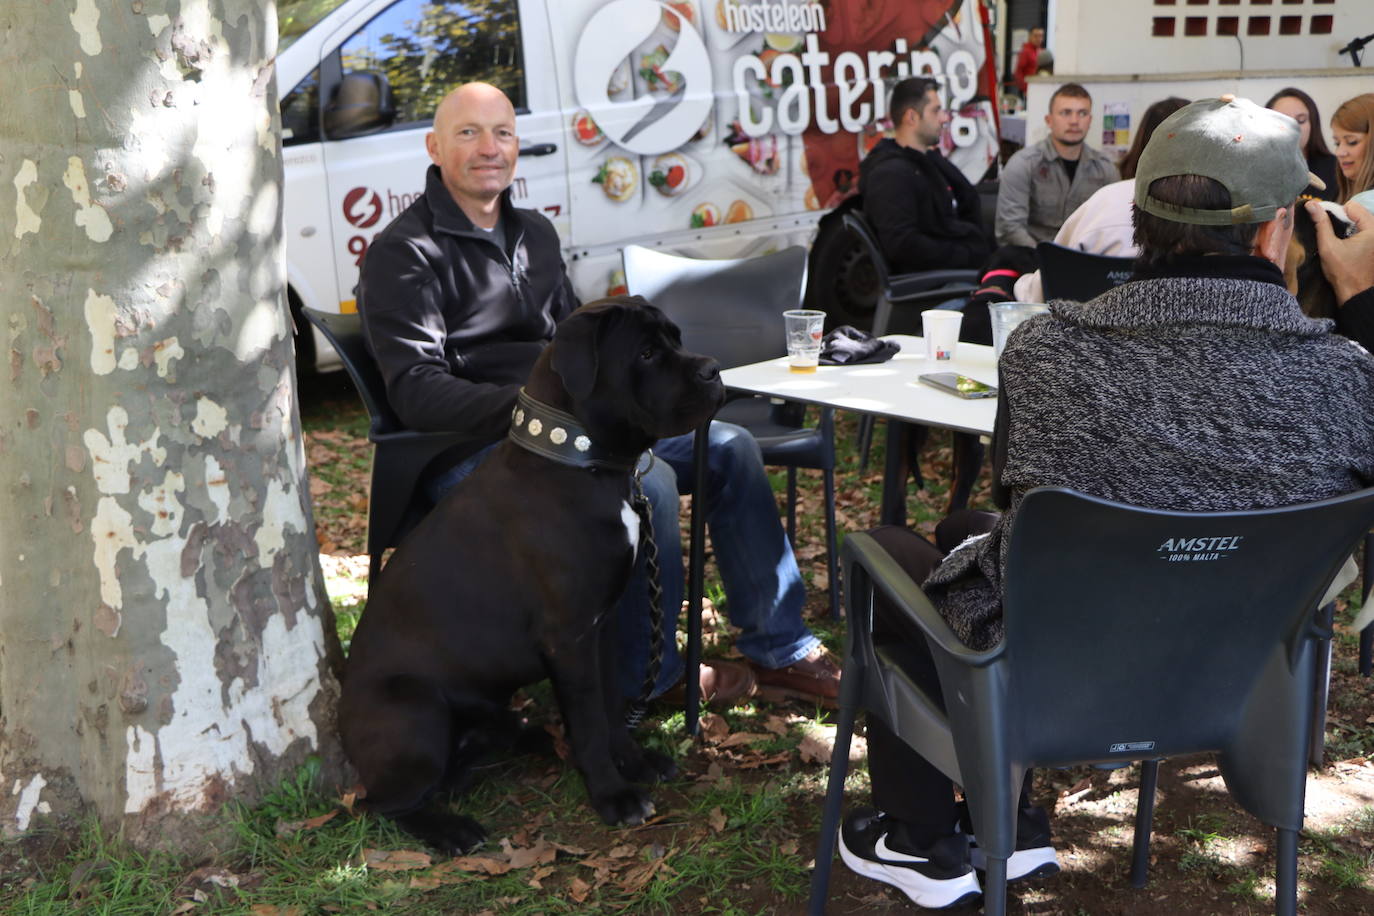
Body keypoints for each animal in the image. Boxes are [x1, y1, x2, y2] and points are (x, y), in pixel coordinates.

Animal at [338, 298, 725, 856]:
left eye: (676, 337)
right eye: (647, 353)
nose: (713, 369)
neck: (580, 463)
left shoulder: (599, 628)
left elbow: (609, 707)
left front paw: (635, 761)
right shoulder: (570, 638)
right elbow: (589, 721)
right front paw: (614, 795)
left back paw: (528, 740)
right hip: (415, 709)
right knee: (382, 805)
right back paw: (452, 829)